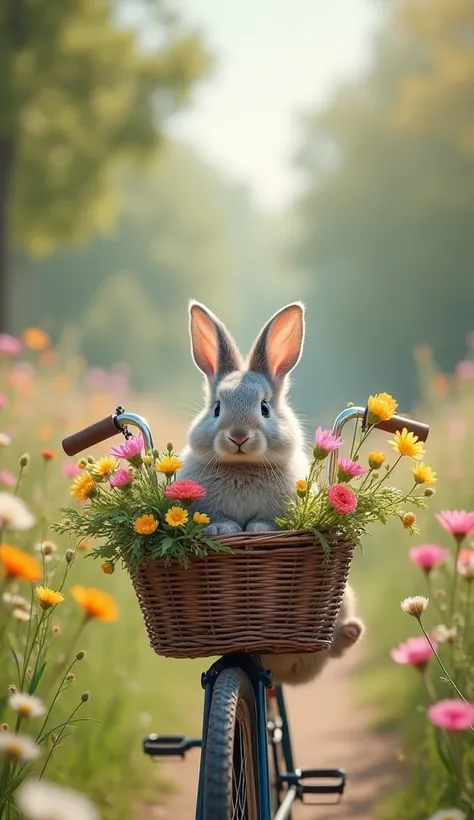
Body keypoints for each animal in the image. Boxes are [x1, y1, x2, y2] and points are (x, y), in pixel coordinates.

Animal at [180, 302, 364, 684]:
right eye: (216, 407)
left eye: (264, 407)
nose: (238, 436)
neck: (243, 466)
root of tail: (280, 671)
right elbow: (219, 521)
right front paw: (225, 529)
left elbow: (265, 524)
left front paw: (256, 530)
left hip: (340, 605)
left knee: (333, 649)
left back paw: (351, 633)